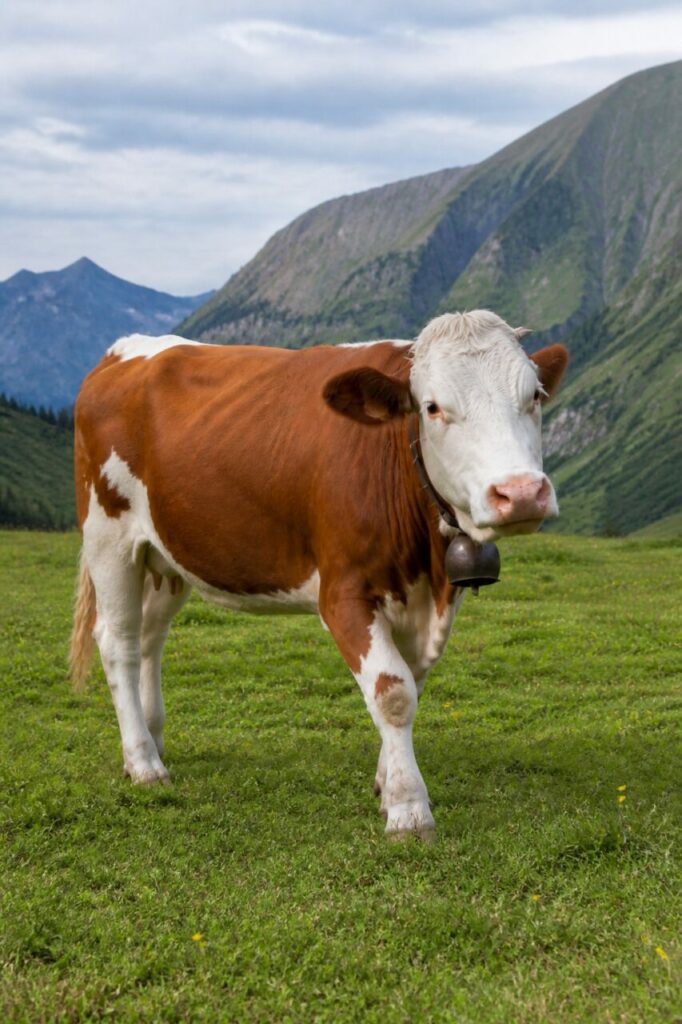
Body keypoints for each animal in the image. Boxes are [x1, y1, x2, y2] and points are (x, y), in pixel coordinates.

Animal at [70, 310, 568, 839]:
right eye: (433, 407)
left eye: (535, 396)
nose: (521, 493)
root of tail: (124, 351)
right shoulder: (344, 593)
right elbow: (392, 692)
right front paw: (409, 809)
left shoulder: (425, 600)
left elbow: (411, 682)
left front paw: (386, 784)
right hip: (108, 534)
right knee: (118, 641)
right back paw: (144, 763)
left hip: (165, 554)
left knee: (150, 638)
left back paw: (152, 739)